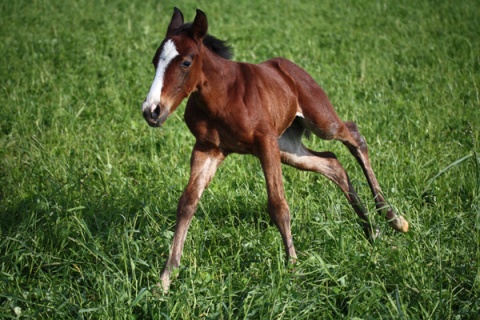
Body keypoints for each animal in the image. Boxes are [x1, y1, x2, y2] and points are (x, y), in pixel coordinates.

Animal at [142, 8, 408, 292]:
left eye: (186, 63)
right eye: (154, 61)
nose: (152, 111)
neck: (223, 96)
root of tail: (290, 69)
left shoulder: (265, 142)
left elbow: (278, 205)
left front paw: (294, 269)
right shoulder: (208, 148)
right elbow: (187, 203)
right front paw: (166, 278)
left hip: (321, 122)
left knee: (354, 135)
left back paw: (393, 218)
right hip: (289, 149)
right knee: (333, 163)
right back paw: (372, 231)